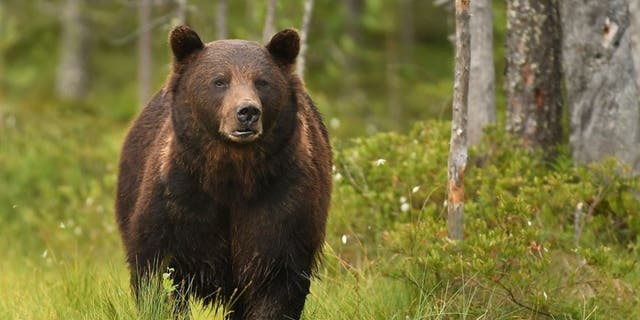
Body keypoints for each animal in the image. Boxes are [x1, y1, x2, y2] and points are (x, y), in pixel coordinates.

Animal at [115, 25, 332, 320]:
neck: (232, 173)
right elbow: (159, 273)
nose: (247, 112)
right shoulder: (178, 198)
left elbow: (277, 280)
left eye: (262, 81)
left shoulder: (282, 199)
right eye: (219, 81)